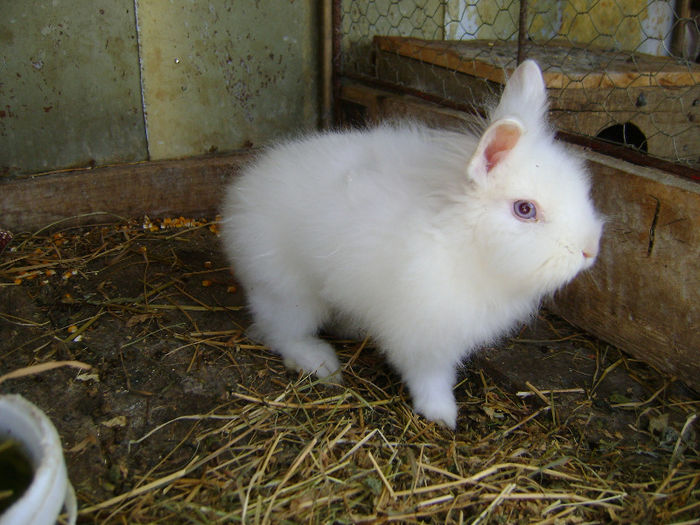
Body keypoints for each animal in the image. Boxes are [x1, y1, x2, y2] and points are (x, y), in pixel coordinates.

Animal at [223, 61, 600, 428]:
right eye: (525, 210)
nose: (589, 251)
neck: (462, 237)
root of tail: (237, 201)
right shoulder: (423, 331)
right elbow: (430, 376)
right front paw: (442, 414)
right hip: (289, 294)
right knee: (282, 334)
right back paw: (320, 363)